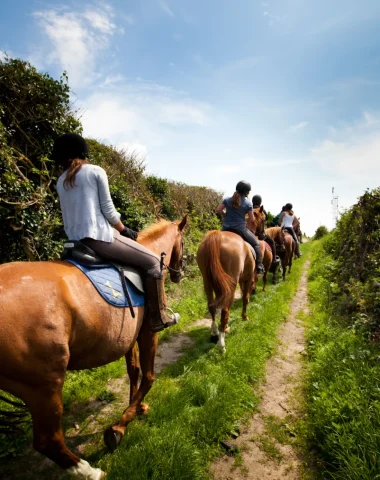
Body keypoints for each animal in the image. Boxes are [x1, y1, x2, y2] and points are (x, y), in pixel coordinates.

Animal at [0, 218, 189, 480]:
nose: (180, 273)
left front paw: (136, 407)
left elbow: (134, 371)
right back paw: (90, 471)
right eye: (183, 242)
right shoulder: (149, 333)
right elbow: (149, 377)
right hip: (43, 388)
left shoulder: (129, 336)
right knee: (48, 441)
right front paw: (119, 428)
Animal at [197, 207, 266, 352]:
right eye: (263, 219)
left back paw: (214, 333)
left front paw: (226, 327)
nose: (263, 235)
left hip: (208, 282)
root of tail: (217, 237)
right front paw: (244, 317)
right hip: (231, 285)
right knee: (225, 310)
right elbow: (246, 298)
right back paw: (221, 344)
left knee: (212, 306)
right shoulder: (247, 279)